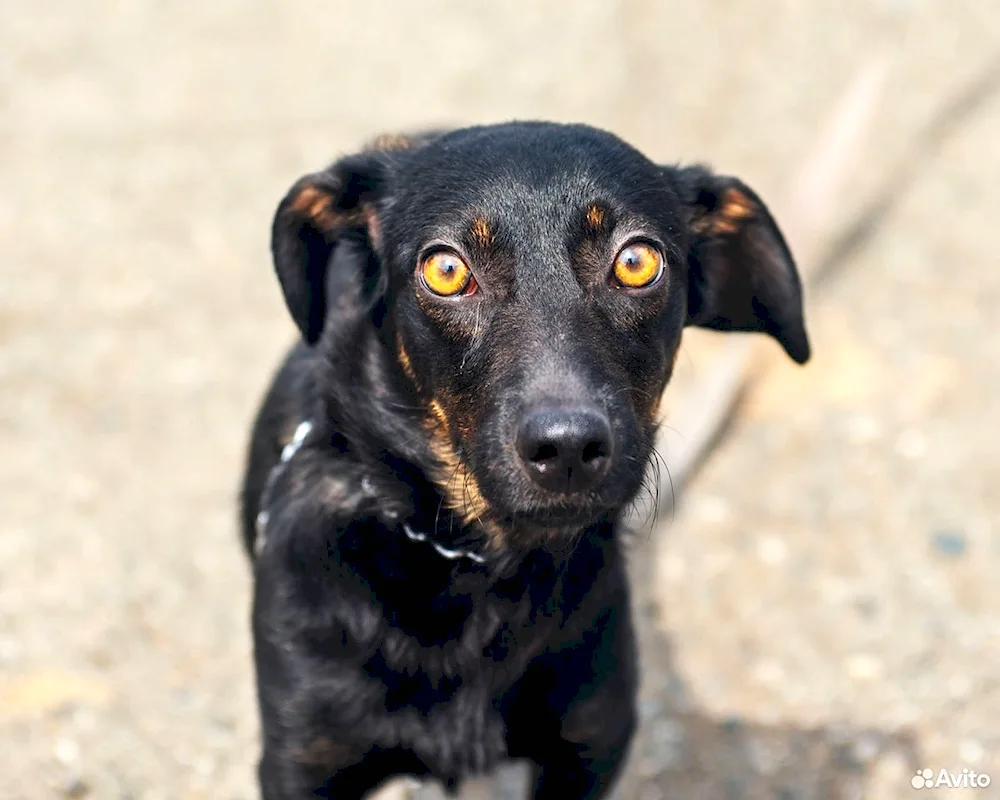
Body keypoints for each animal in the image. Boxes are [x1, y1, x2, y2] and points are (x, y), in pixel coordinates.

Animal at [242, 122, 812, 796]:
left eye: (637, 261)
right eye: (445, 269)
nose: (566, 448)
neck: (474, 565)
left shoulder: (591, 743)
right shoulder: (304, 760)